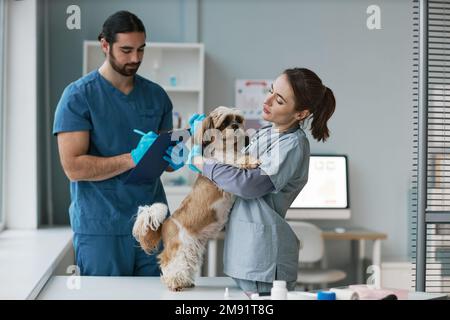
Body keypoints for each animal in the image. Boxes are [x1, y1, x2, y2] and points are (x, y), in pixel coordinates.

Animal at [132, 106, 258, 292]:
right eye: (225, 123)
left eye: (239, 120)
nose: (235, 125)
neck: (226, 148)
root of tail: (166, 223)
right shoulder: (223, 163)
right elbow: (234, 159)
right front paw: (250, 160)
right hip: (180, 247)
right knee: (168, 262)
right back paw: (174, 283)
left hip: (191, 248)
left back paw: (186, 281)